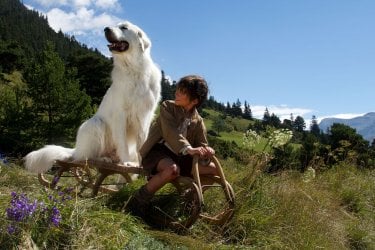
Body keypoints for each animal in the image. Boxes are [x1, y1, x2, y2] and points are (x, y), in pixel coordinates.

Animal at [25, 20, 162, 173]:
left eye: (124, 27)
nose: (106, 29)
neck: (134, 70)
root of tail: (76, 149)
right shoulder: (120, 115)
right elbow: (122, 143)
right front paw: (126, 162)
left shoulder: (145, 116)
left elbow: (143, 142)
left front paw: (139, 164)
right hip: (95, 124)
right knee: (87, 157)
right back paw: (104, 159)